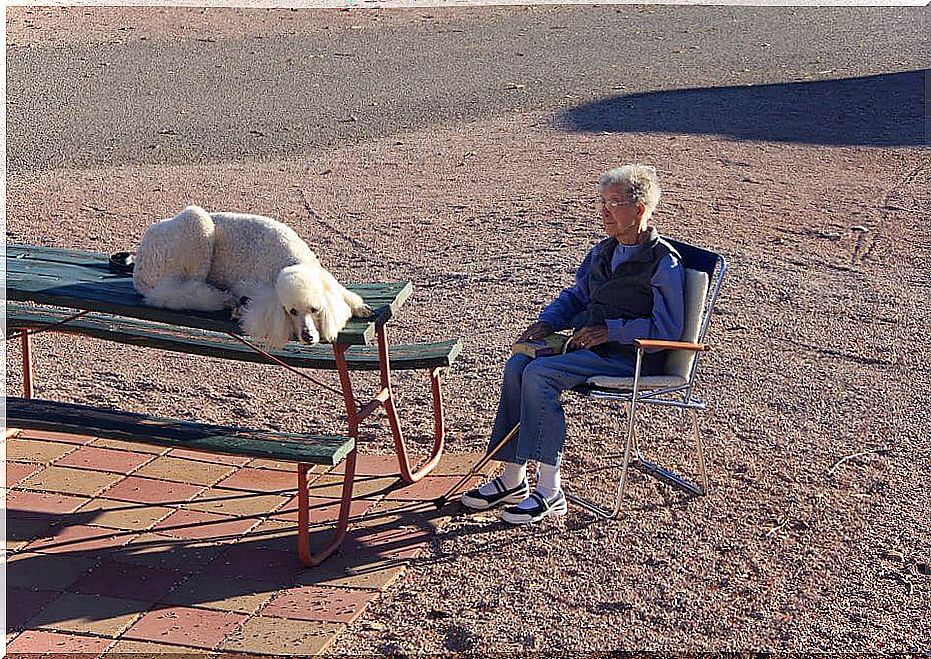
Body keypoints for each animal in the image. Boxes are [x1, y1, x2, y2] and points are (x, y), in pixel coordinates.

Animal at [133, 206, 374, 350]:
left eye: (315, 309)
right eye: (291, 311)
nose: (307, 337)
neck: (294, 260)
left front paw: (359, 307)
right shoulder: (254, 286)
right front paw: (240, 309)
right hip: (195, 225)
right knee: (181, 292)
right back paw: (222, 299)